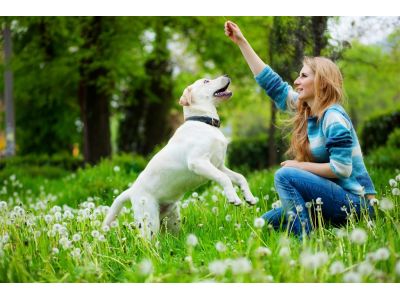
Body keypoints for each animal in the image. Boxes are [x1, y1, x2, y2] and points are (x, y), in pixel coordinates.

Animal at [104, 75, 256, 239]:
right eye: (206, 81)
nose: (227, 75)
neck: (204, 122)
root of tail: (132, 191)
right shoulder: (198, 162)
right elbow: (224, 178)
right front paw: (233, 197)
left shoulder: (218, 165)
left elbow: (240, 177)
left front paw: (249, 197)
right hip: (149, 221)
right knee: (145, 240)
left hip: (172, 220)